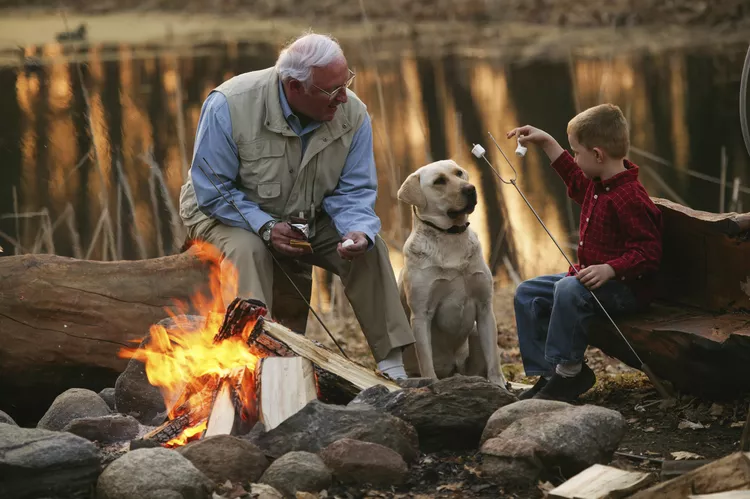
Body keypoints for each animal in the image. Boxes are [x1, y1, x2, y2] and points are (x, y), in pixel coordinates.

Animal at [396, 160, 508, 386]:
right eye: (439, 181)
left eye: (459, 173)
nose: (471, 189)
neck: (451, 236)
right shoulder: (421, 315)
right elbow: (426, 360)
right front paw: (430, 383)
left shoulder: (485, 307)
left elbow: (493, 356)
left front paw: (498, 383)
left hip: (475, 332)